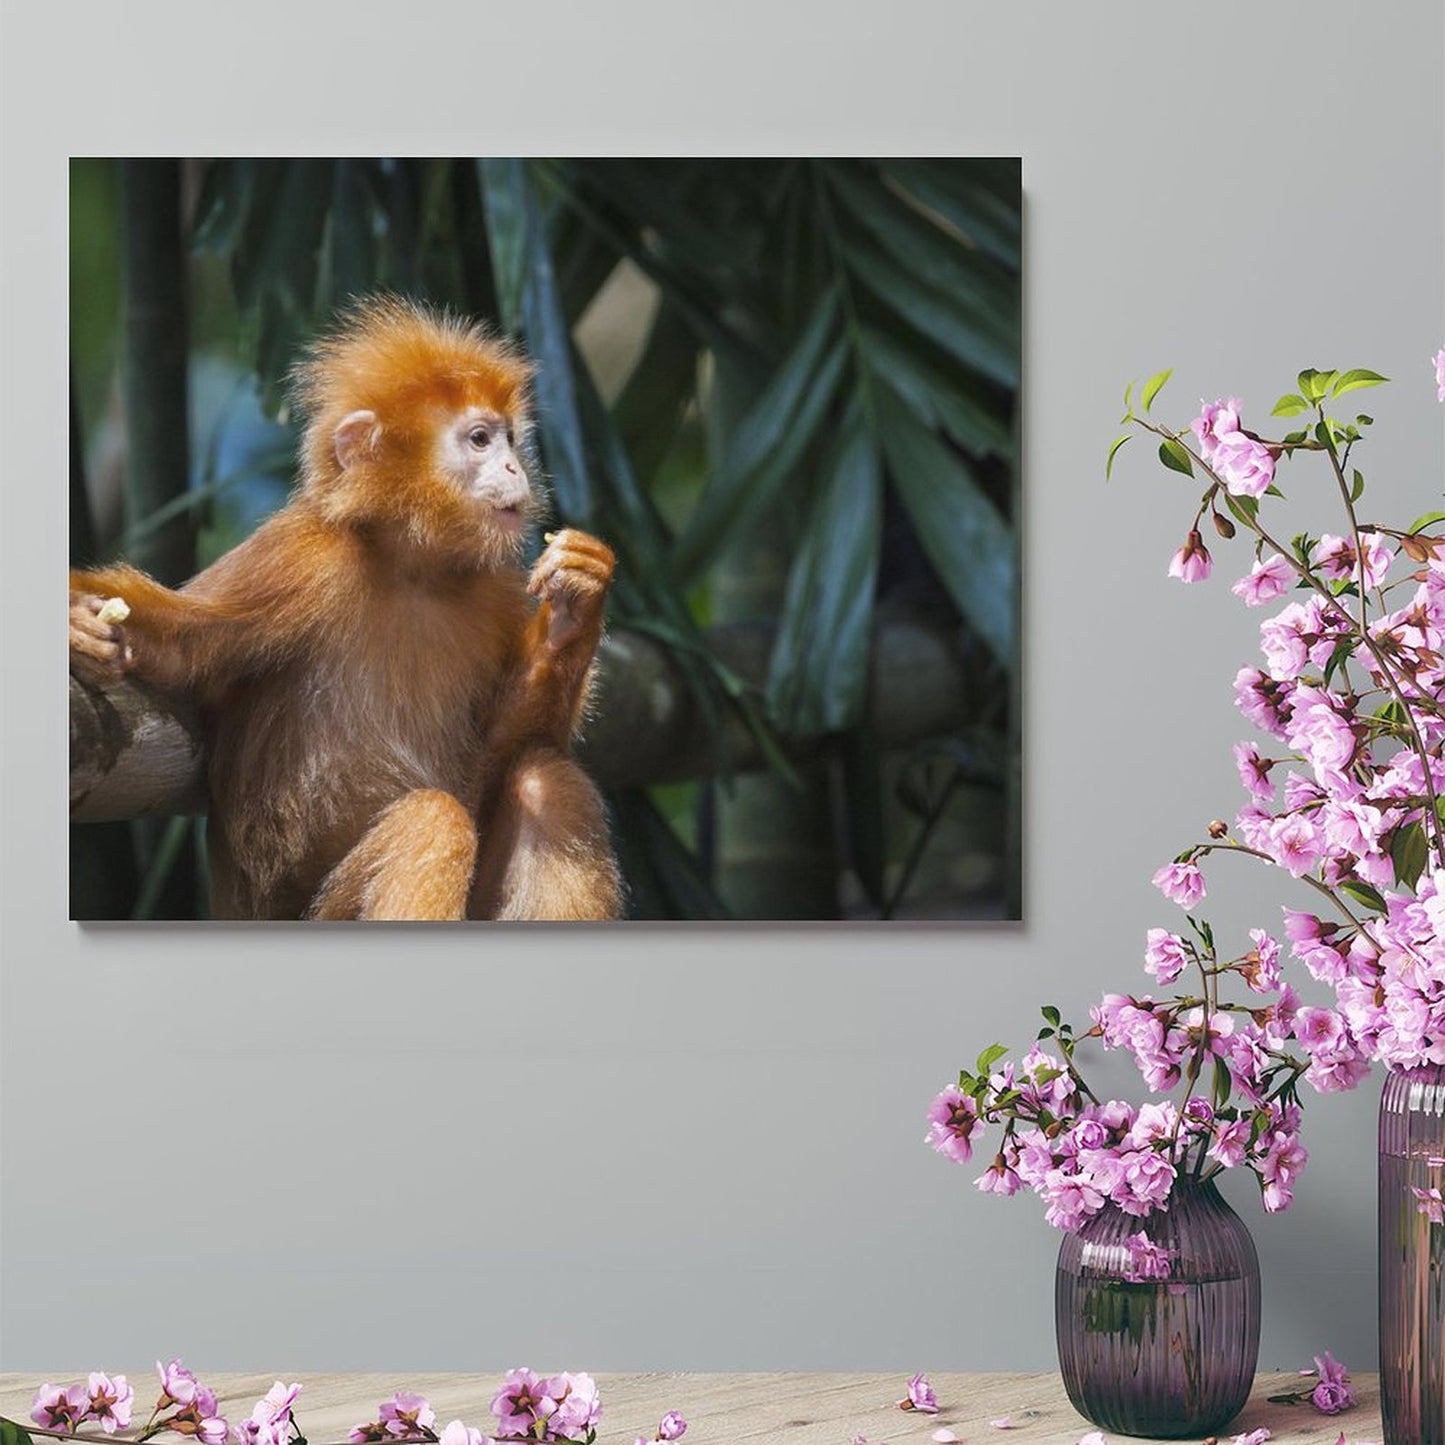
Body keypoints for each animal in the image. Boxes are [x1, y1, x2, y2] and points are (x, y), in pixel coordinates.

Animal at [69, 296, 623, 921]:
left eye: (508, 438)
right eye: (481, 439)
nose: (514, 468)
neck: (410, 570)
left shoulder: (496, 593)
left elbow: (506, 749)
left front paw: (576, 606)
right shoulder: (299, 557)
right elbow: (179, 639)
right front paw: (78, 625)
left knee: (543, 779)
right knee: (433, 818)